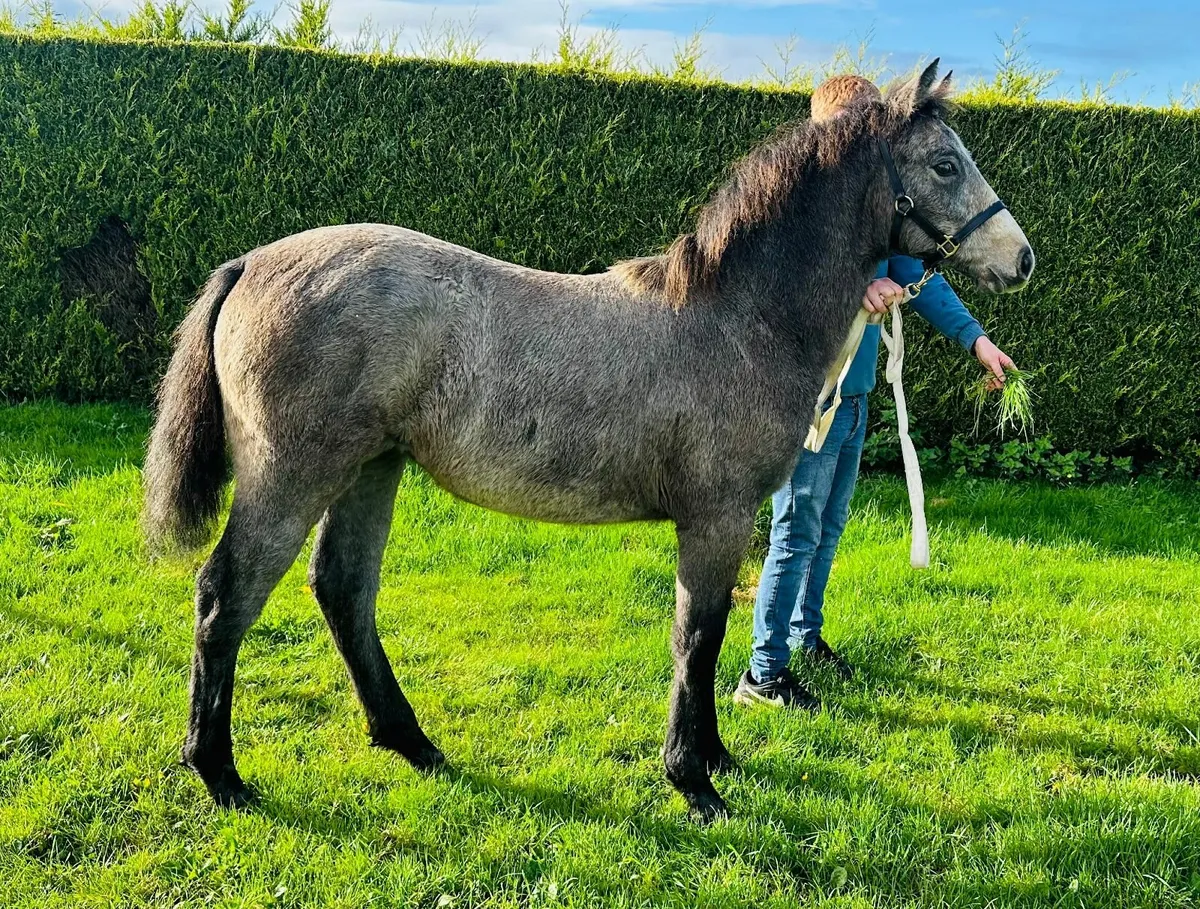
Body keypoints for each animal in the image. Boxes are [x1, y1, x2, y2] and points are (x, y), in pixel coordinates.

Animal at [144, 61, 1033, 820]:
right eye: (945, 165)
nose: (1020, 259)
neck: (737, 319)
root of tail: (250, 263)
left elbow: (703, 636)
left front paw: (717, 755)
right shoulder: (715, 520)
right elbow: (697, 635)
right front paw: (694, 780)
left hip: (372, 467)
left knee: (343, 590)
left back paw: (413, 742)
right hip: (293, 475)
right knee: (226, 595)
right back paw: (220, 772)